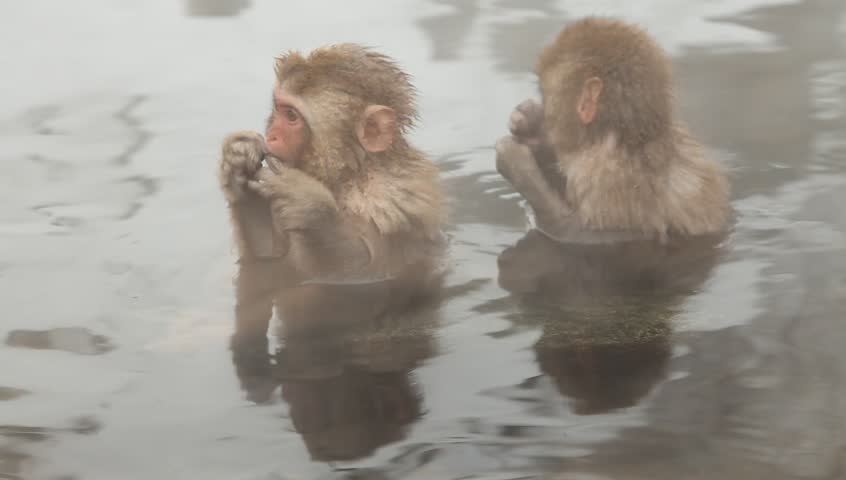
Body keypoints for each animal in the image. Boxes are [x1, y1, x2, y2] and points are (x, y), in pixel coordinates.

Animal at [218, 43, 446, 283]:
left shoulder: (393, 203)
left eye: (291, 116)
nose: (271, 136)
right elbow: (268, 257)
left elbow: (360, 270)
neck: (350, 175)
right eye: (278, 109)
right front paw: (239, 167)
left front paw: (311, 210)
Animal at [495, 17, 731, 244]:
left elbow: (588, 235)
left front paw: (515, 161)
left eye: (545, 95)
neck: (629, 139)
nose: (543, 112)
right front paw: (531, 125)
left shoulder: (609, 178)